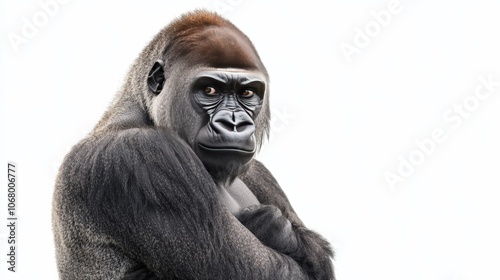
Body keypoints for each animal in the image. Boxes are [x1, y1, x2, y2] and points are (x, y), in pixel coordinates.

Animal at [51, 9, 336, 278]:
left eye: (247, 93)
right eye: (209, 90)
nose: (234, 124)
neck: (141, 108)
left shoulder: (260, 173)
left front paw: (281, 229)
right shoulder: (140, 154)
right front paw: (274, 227)